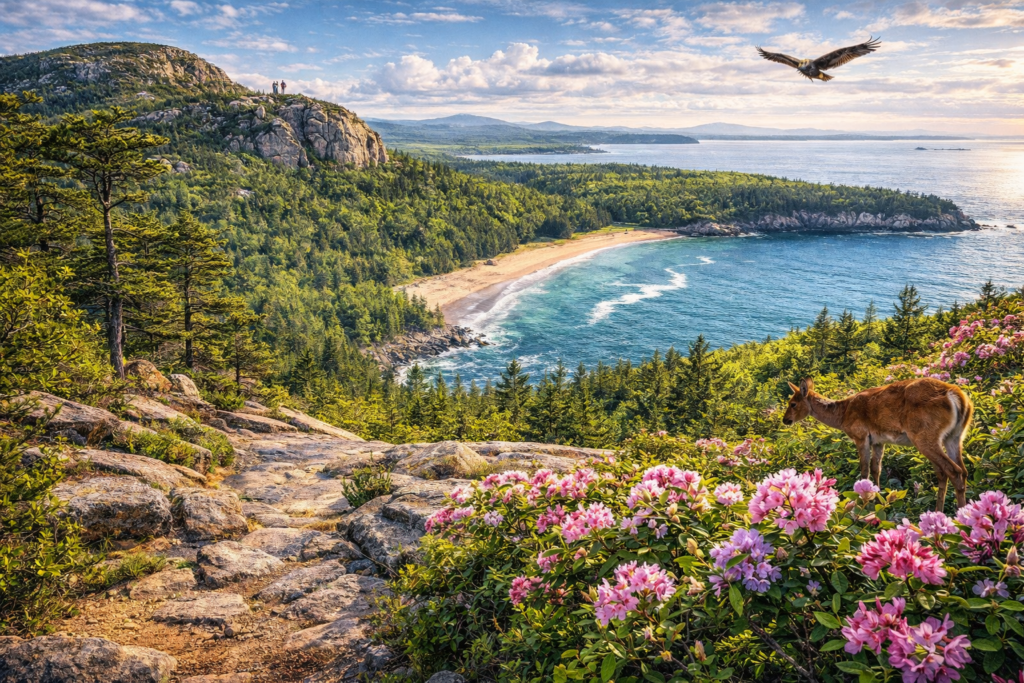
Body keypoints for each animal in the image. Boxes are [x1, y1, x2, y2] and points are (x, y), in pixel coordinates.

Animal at [782, 377, 973, 512]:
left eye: (793, 403)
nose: (785, 420)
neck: (842, 415)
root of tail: (959, 398)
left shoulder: (860, 435)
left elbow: (864, 469)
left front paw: (862, 502)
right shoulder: (878, 441)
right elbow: (876, 468)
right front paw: (877, 498)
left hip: (925, 435)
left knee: (953, 471)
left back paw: (960, 517)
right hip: (955, 436)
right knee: (958, 471)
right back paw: (943, 512)